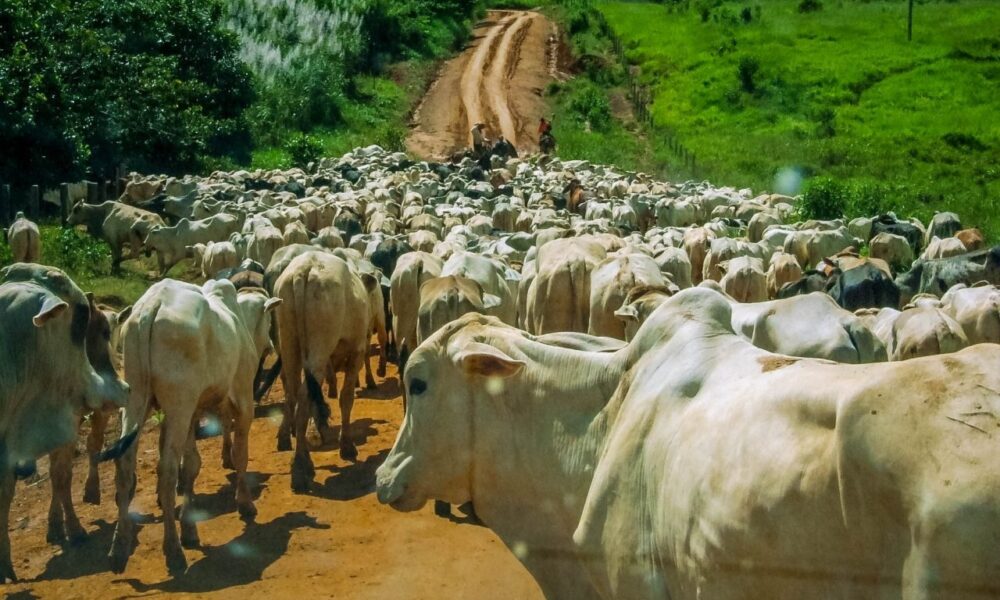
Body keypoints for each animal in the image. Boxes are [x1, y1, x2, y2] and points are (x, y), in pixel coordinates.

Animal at [109, 279, 279, 574]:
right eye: (268, 320)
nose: (269, 344)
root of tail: (151, 306)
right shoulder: (242, 399)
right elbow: (240, 454)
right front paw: (245, 503)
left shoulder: (192, 413)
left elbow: (191, 466)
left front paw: (189, 529)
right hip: (178, 404)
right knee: (166, 471)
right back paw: (173, 551)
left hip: (136, 399)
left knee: (125, 465)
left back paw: (120, 547)